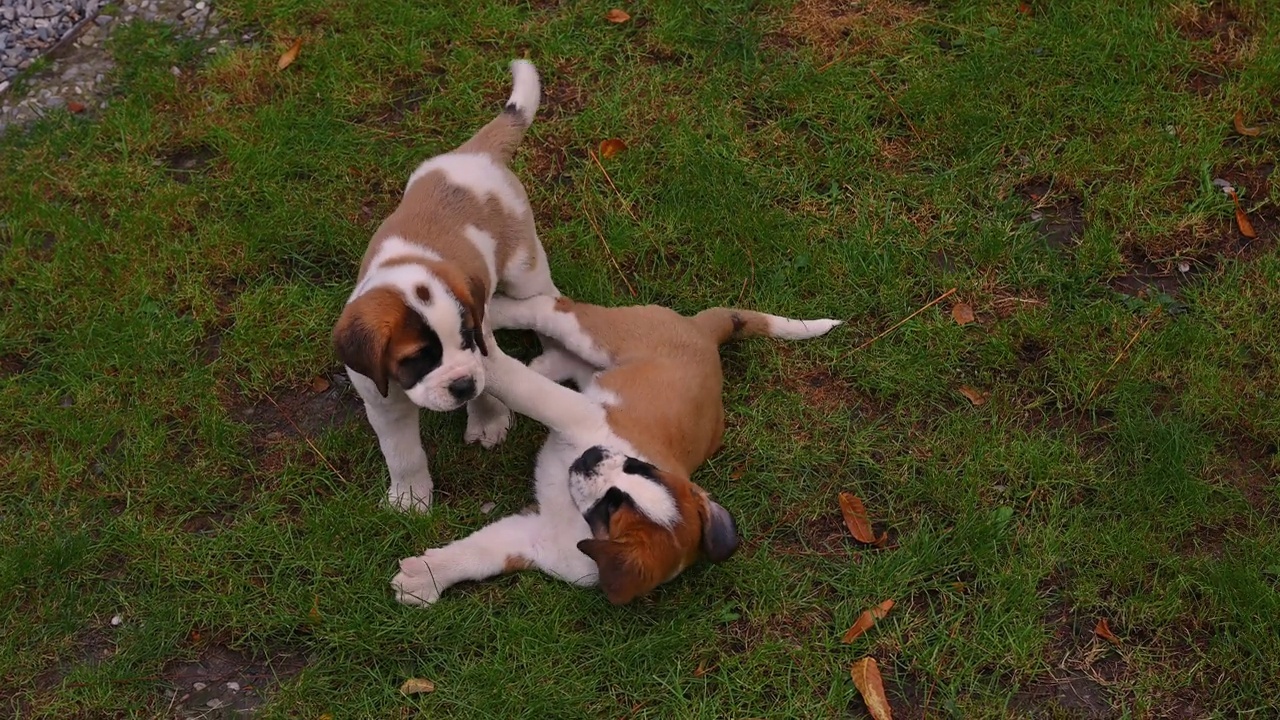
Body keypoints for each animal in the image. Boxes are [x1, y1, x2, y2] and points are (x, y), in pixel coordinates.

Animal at [332, 60, 563, 509]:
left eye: (465, 338)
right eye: (417, 357)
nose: (460, 385)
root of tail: (473, 154)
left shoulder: (482, 343)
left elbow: (486, 382)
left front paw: (487, 420)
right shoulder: (381, 399)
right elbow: (402, 452)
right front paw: (409, 497)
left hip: (525, 268)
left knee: (546, 298)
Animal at [394, 294, 844, 602]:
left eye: (612, 507)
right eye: (642, 469)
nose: (592, 456)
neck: (577, 516)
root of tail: (704, 334)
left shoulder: (540, 540)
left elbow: (480, 553)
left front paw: (425, 576)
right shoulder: (575, 414)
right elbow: (526, 389)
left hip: (595, 359)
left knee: (554, 348)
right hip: (598, 336)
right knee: (547, 307)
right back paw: (486, 320)